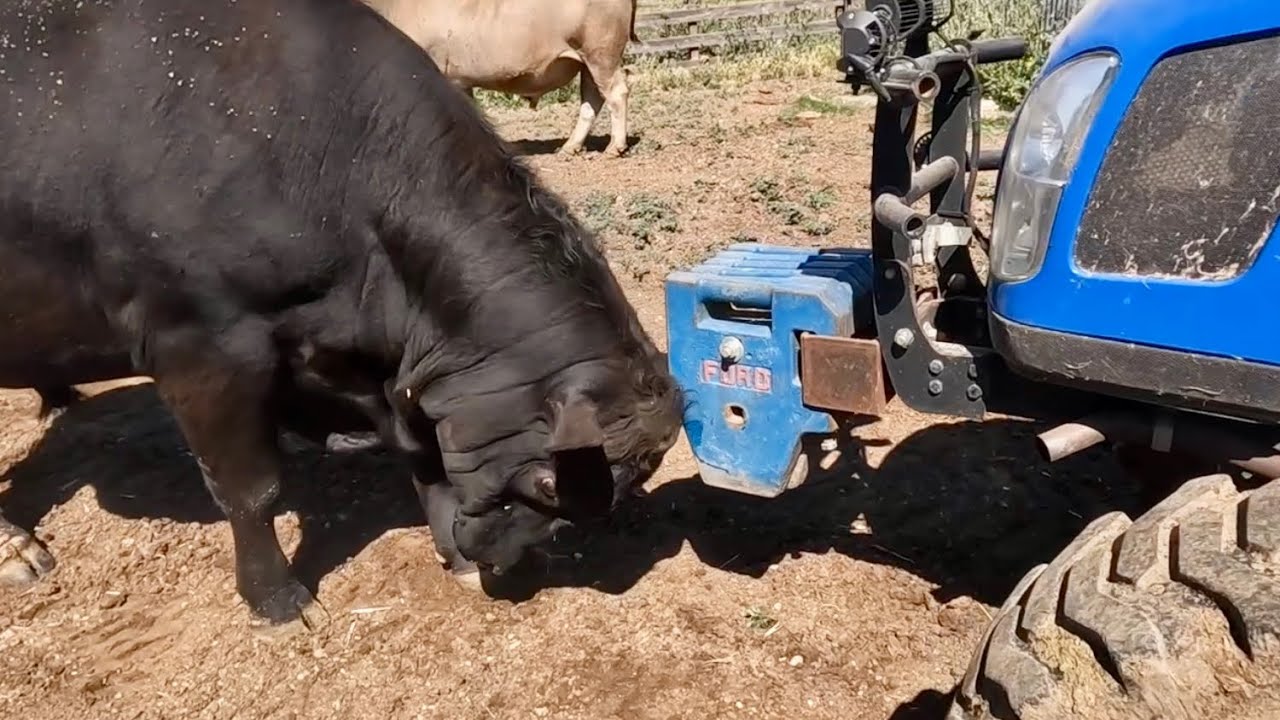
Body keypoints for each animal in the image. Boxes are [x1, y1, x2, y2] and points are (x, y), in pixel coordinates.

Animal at [360, 0, 640, 156]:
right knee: (592, 99)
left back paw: (615, 147)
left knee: (616, 92)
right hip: (587, 62)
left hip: (600, 54)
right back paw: (570, 147)